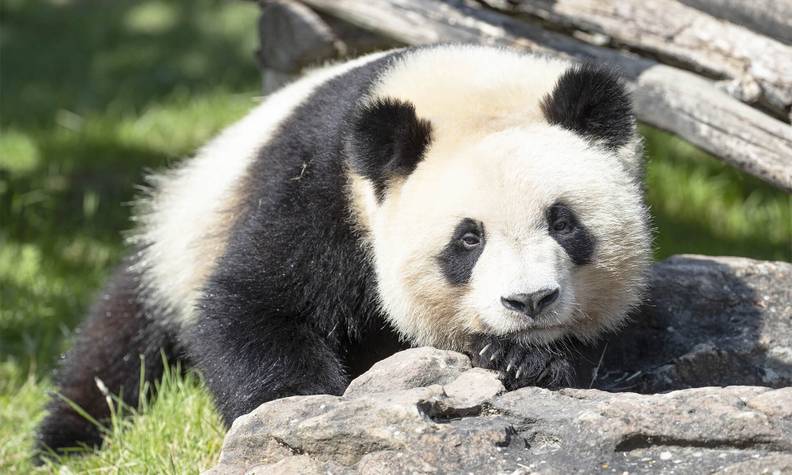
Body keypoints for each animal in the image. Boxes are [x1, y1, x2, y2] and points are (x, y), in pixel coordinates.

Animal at [35, 44, 648, 458]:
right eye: (468, 239)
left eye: (563, 223)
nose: (530, 302)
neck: (466, 89)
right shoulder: (322, 183)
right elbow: (253, 305)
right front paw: (301, 415)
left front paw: (524, 358)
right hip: (178, 234)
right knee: (116, 345)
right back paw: (68, 441)